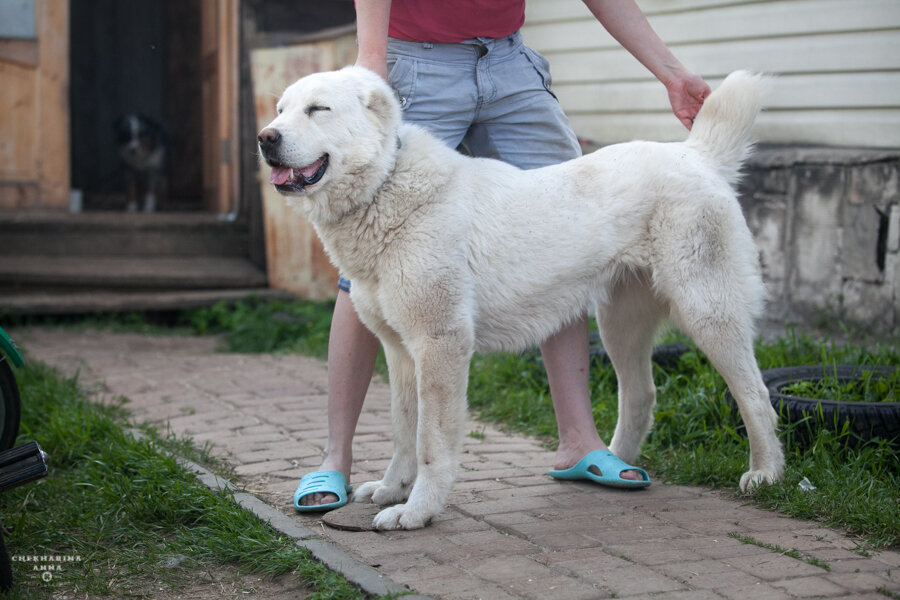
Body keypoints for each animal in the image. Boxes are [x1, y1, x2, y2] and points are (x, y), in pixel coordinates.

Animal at [258, 67, 780, 528]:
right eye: (281, 110)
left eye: (318, 109)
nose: (265, 138)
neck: (386, 185)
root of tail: (696, 154)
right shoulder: (401, 352)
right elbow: (403, 430)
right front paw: (391, 489)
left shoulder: (441, 345)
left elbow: (430, 442)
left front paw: (417, 511)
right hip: (619, 325)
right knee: (641, 394)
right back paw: (614, 464)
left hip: (706, 311)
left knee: (756, 396)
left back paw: (766, 474)